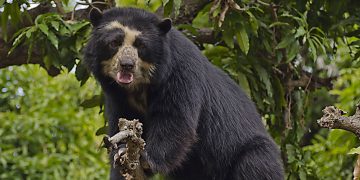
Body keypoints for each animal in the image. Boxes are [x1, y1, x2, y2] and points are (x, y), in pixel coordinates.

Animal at [84, 7, 284, 180]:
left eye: (141, 46)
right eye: (114, 43)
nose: (127, 65)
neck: (140, 87)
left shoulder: (180, 74)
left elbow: (175, 120)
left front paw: (148, 160)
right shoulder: (117, 96)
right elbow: (122, 121)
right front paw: (122, 152)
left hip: (250, 153)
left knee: (254, 166)